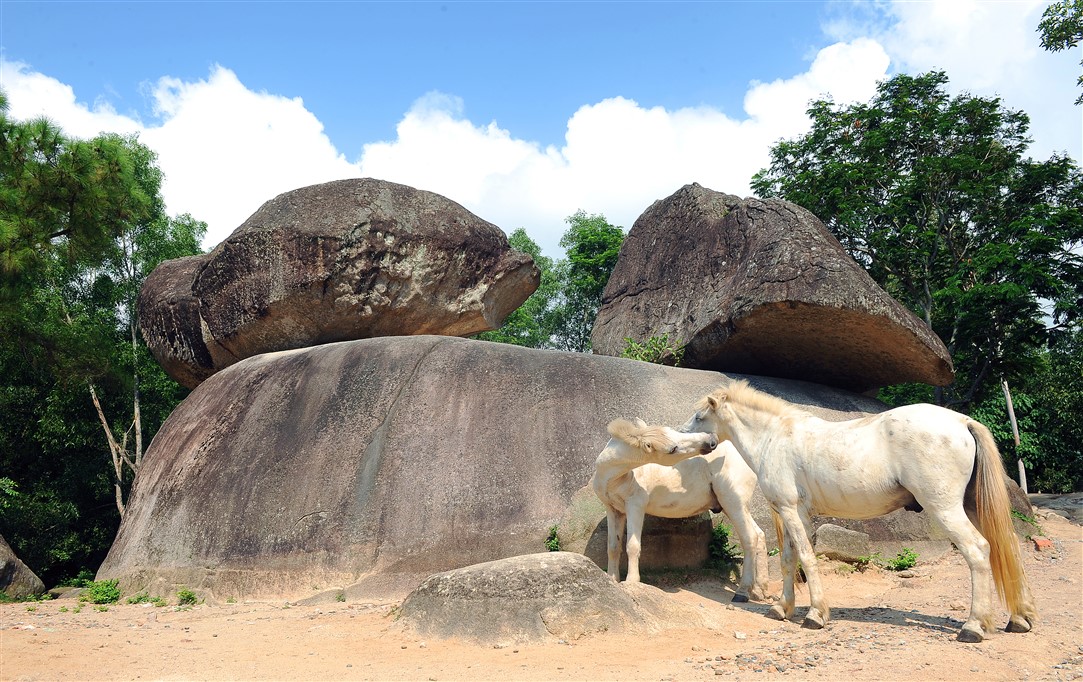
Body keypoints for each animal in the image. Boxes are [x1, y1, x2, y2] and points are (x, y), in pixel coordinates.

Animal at [593, 417, 771, 601]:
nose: (711, 441)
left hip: (734, 503)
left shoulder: (635, 506)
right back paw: (760, 589)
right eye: (673, 449)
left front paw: (632, 582)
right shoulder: (614, 510)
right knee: (759, 534)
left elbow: (632, 546)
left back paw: (742, 592)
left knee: (750, 537)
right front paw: (612, 580)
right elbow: (613, 547)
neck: (616, 477)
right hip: (736, 507)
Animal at [680, 383, 1035, 645]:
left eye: (699, 416)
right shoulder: (797, 514)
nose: (685, 439)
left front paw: (815, 615)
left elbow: (806, 558)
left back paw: (973, 627)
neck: (775, 437)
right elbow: (789, 560)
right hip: (972, 508)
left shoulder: (789, 511)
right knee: (1004, 547)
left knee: (978, 550)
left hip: (946, 509)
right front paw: (782, 609)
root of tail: (963, 422)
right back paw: (1019, 619)